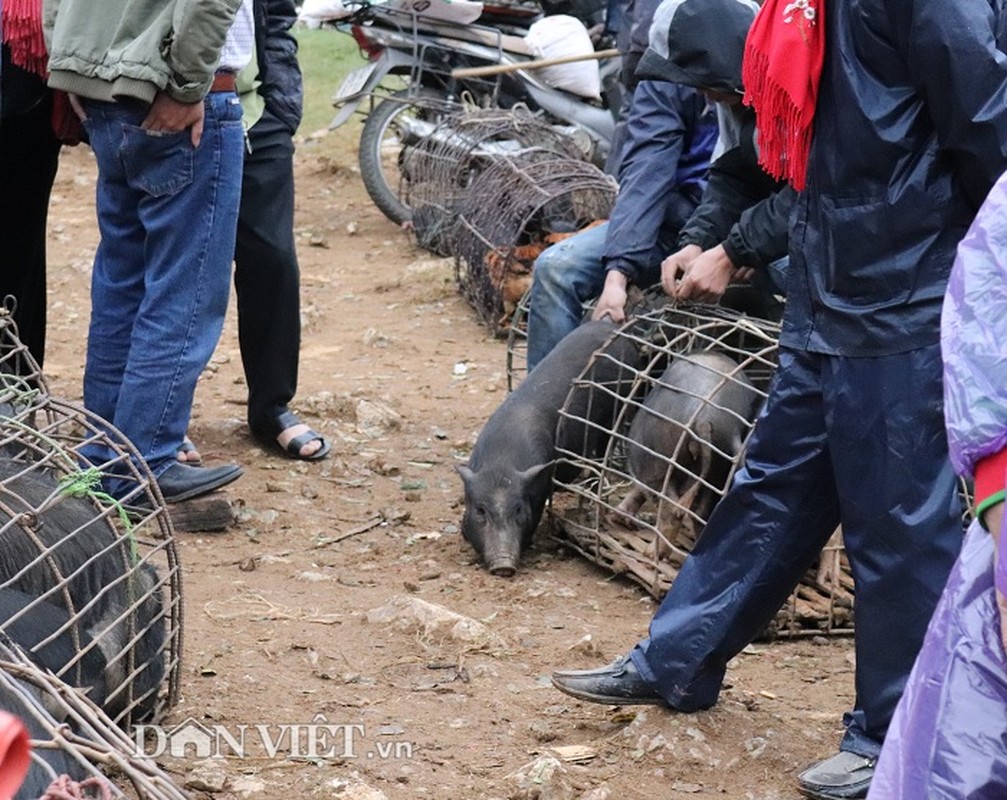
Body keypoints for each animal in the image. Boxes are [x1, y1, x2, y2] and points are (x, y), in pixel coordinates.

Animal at [547, 304, 853, 636]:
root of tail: (705, 416)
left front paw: (621, 519)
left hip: (662, 460)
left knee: (673, 511)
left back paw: (650, 553)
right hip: (717, 466)